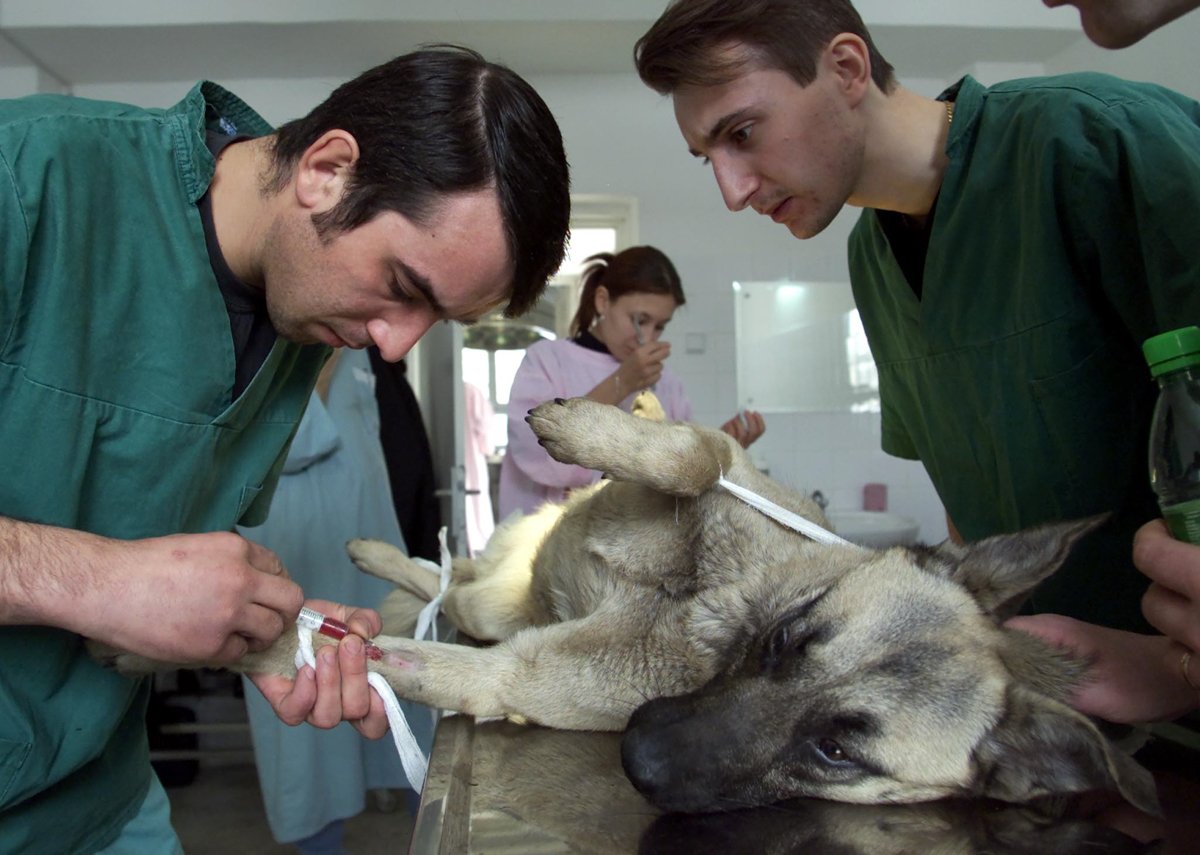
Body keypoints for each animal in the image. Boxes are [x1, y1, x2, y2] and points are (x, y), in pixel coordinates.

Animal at [96, 393, 1161, 816]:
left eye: (837, 751)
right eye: (792, 633)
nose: (641, 752)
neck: (710, 607)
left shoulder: (506, 672)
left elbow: (334, 645)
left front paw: (232, 639)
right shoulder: (726, 468)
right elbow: (691, 449)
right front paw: (589, 424)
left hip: (500, 623)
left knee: (443, 603)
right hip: (505, 579)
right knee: (452, 575)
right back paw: (382, 549)